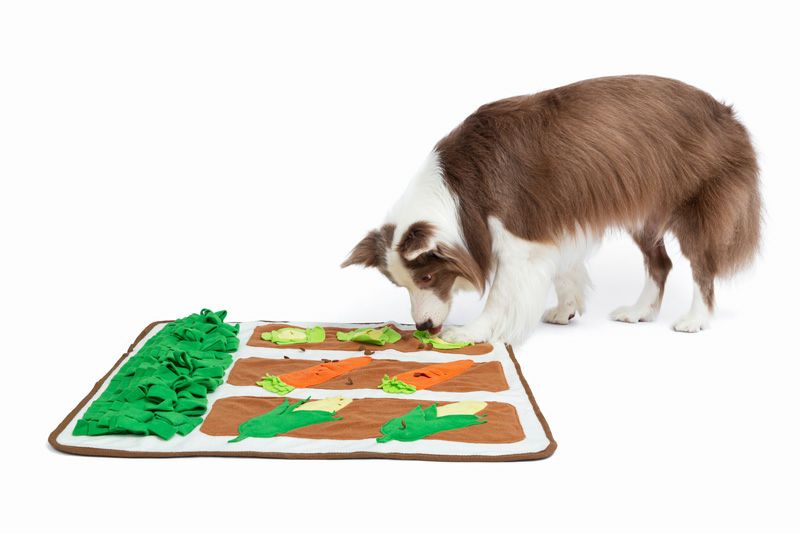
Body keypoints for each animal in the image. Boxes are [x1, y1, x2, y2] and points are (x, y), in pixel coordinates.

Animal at [342, 75, 761, 344]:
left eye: (427, 277)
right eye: (401, 284)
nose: (424, 327)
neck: (459, 191)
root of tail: (729, 114)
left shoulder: (518, 238)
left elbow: (500, 296)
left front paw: (473, 332)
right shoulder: (551, 225)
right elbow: (564, 271)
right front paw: (566, 309)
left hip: (697, 206)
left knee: (702, 267)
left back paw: (694, 320)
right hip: (644, 214)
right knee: (661, 263)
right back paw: (640, 310)